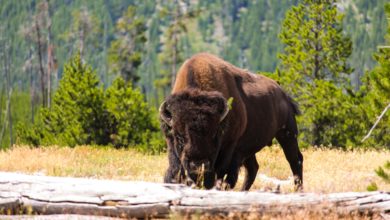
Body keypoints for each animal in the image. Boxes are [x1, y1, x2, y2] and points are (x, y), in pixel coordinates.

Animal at [160, 52, 304, 191]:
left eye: (214, 135)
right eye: (179, 136)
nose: (198, 165)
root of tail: (284, 94)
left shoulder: (230, 147)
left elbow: (222, 173)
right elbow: (175, 169)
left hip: (287, 133)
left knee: (295, 160)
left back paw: (298, 189)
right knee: (253, 168)